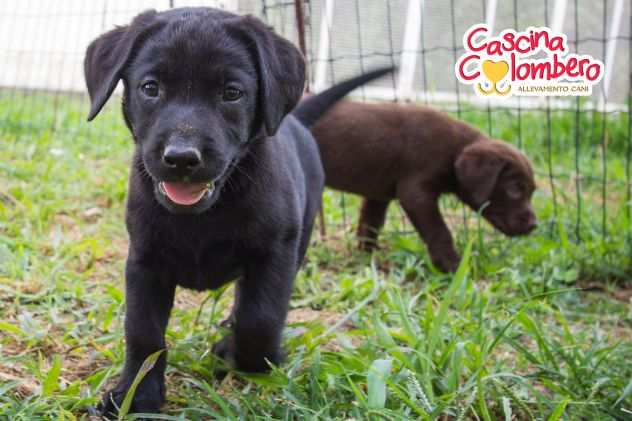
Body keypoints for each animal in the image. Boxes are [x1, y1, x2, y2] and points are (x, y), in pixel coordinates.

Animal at [82, 7, 392, 416]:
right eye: (150, 88)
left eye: (232, 93)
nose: (182, 158)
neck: (204, 215)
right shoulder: (144, 261)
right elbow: (143, 333)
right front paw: (136, 396)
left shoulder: (275, 254)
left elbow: (260, 319)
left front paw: (242, 356)